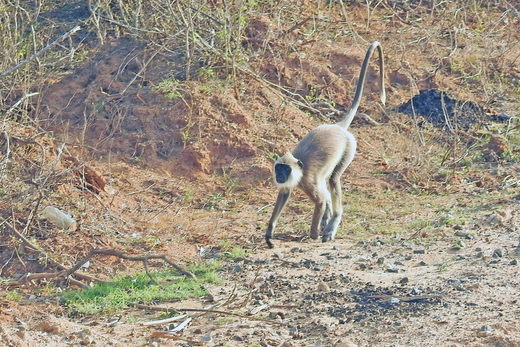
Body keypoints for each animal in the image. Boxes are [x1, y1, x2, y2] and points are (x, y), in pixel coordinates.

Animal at [266, 40, 384, 249]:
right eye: (278, 168)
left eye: (285, 169)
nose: (279, 175)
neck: (299, 169)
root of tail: (338, 127)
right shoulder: (290, 183)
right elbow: (284, 194)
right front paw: (269, 231)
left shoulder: (307, 181)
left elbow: (319, 201)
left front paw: (313, 234)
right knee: (327, 185)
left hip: (349, 148)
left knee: (333, 180)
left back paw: (332, 221)